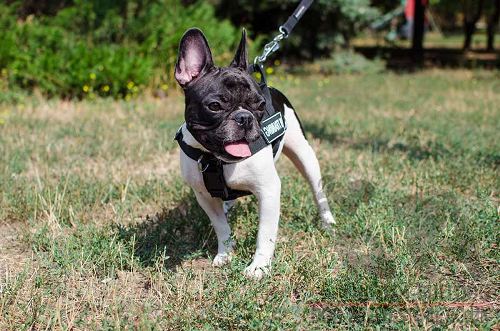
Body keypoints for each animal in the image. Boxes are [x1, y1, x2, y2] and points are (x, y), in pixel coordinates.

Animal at [174, 28, 334, 278]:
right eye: (215, 106)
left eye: (259, 105)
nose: (245, 118)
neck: (217, 161)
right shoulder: (205, 197)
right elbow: (221, 227)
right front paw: (225, 255)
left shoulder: (268, 191)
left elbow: (264, 235)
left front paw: (259, 267)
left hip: (305, 155)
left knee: (318, 191)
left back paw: (327, 221)